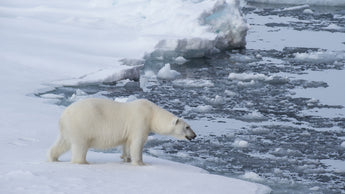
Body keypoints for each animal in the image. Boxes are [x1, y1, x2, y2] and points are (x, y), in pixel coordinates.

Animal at [47, 98, 196, 165]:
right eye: (187, 127)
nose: (194, 135)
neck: (152, 113)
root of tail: (63, 116)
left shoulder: (129, 131)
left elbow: (127, 143)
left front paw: (126, 158)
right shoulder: (140, 121)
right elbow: (137, 143)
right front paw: (140, 163)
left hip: (68, 129)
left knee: (62, 143)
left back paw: (53, 158)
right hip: (82, 125)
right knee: (80, 146)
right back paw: (83, 162)